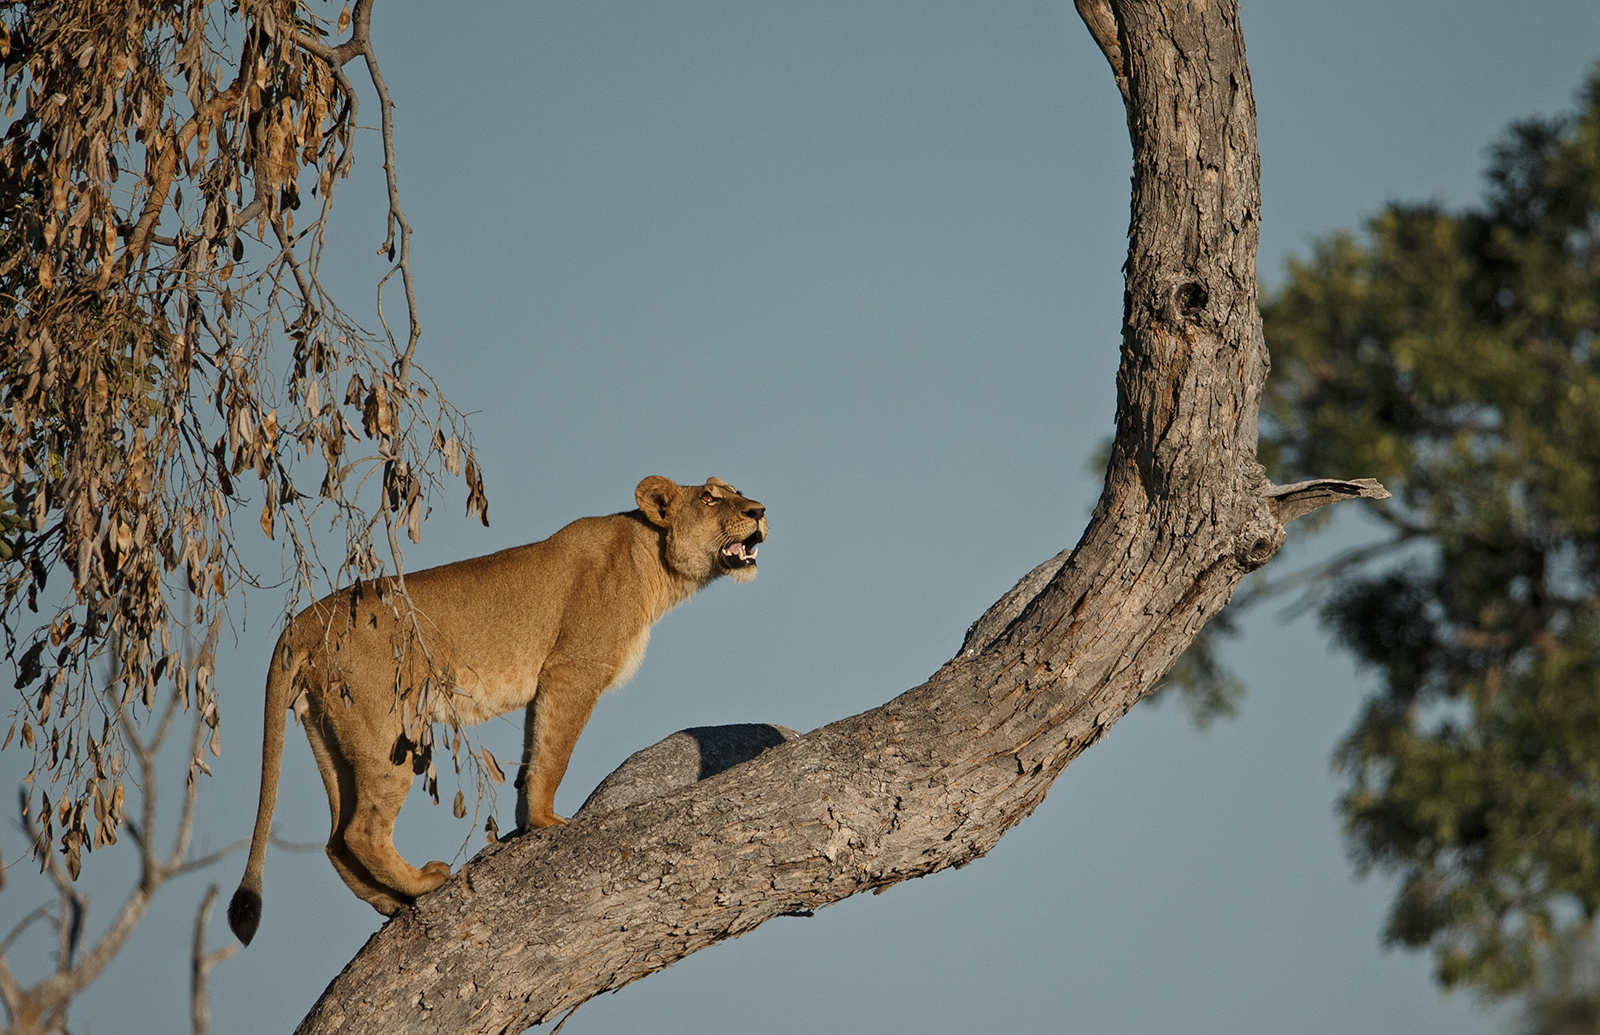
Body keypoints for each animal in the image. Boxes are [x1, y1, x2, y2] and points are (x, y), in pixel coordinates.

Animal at [226, 476, 767, 945]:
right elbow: (555, 752)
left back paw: (394, 902)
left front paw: (528, 820)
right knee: (362, 830)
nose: (760, 511)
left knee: (336, 840)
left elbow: (534, 750)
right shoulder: (574, 669)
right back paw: (426, 882)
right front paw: (548, 822)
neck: (652, 561)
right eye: (712, 498)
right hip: (391, 728)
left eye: (738, 491)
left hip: (329, 735)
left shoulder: (548, 682)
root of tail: (300, 624)